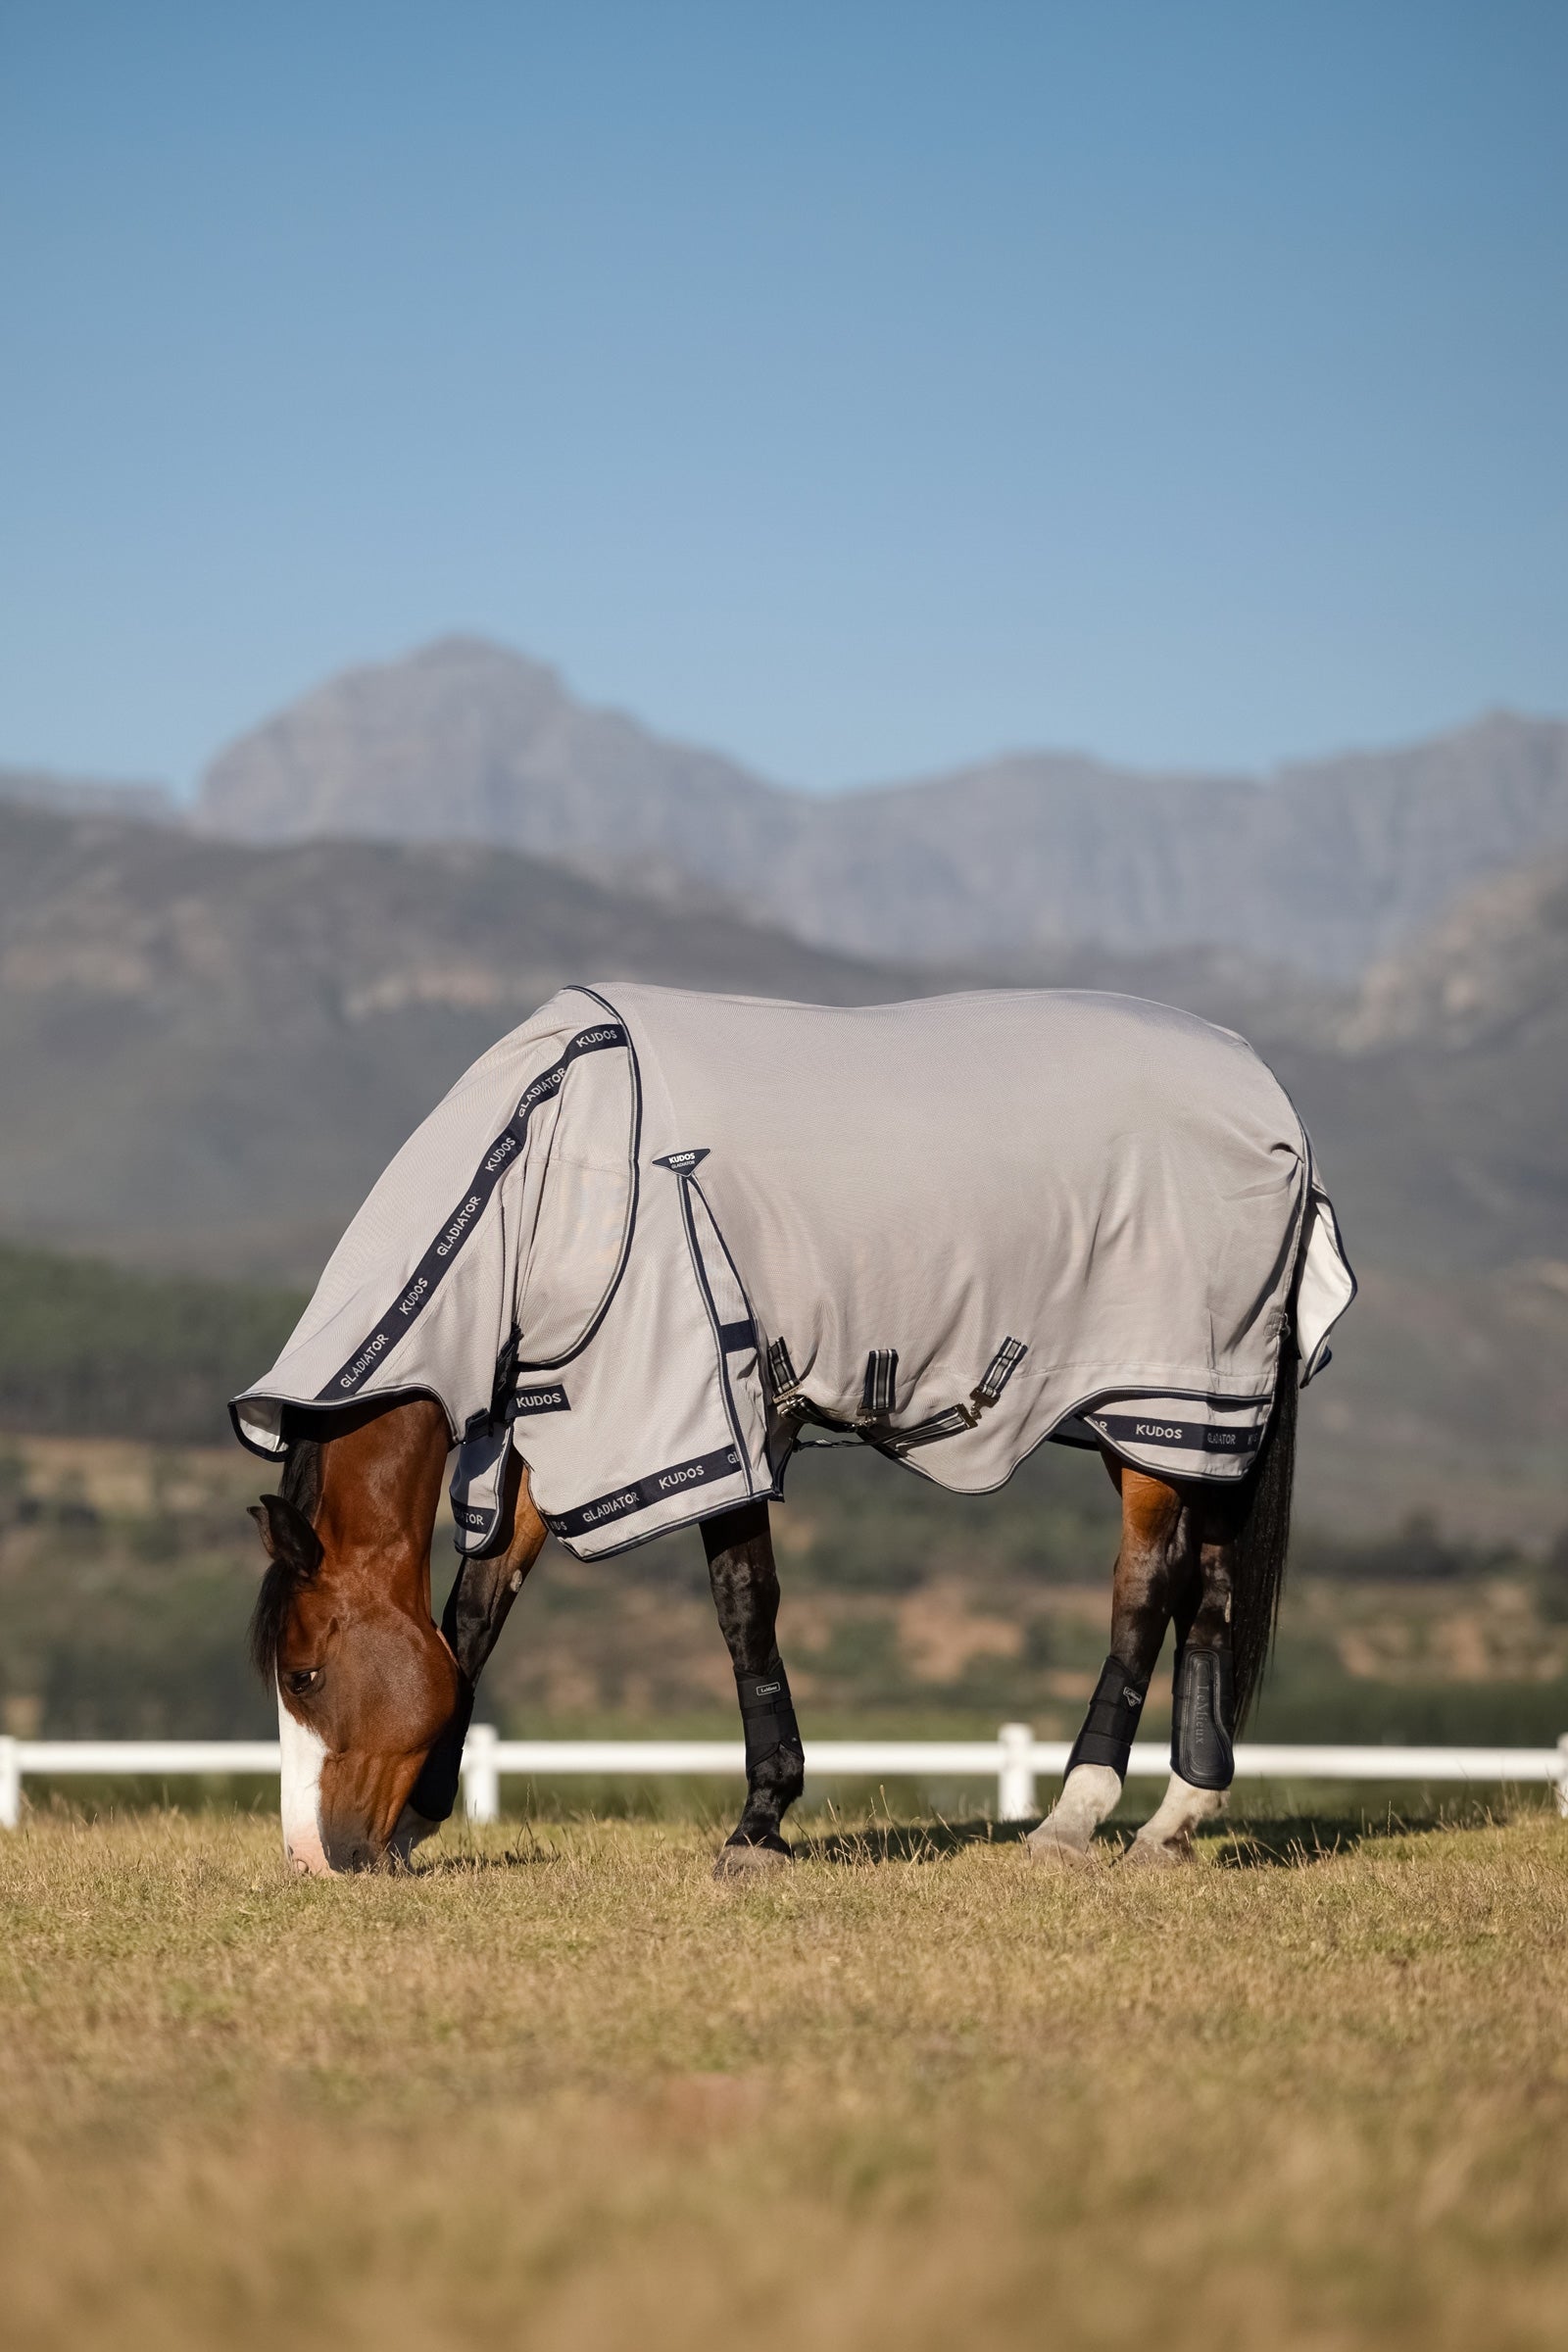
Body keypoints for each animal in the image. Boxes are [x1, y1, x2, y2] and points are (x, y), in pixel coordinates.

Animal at [237, 982, 1352, 1876]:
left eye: (303, 1674)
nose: (312, 1858)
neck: (550, 1158)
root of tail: (1272, 1104)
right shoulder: (565, 1420)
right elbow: (469, 1617)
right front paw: (423, 1818)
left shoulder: (698, 1412)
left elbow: (745, 1608)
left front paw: (759, 1825)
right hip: (1184, 1429)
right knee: (1209, 1588)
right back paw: (1172, 1824)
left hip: (1161, 1402)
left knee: (1145, 1591)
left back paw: (1072, 1819)